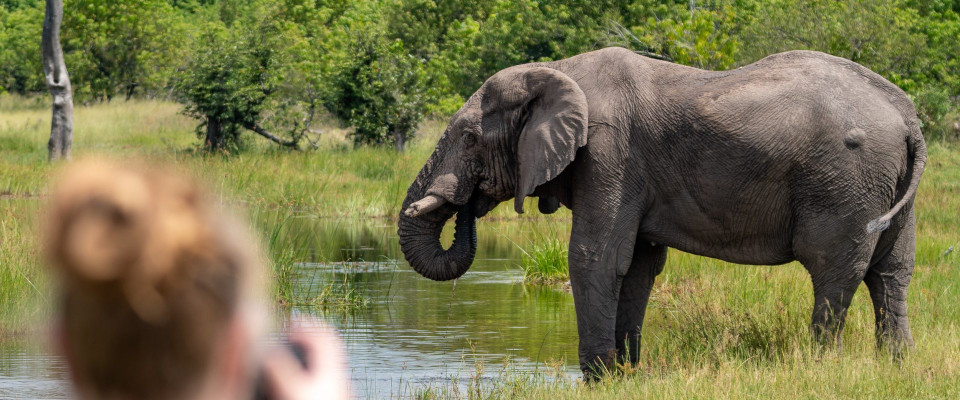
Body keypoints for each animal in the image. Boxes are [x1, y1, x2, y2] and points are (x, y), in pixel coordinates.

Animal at [396, 47, 926, 378]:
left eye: (470, 138)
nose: (470, 202)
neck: (558, 70)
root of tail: (908, 117)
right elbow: (638, 265)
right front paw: (626, 372)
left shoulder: (609, 153)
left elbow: (594, 258)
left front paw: (597, 376)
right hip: (884, 186)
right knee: (891, 273)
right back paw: (896, 368)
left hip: (846, 180)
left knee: (834, 272)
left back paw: (818, 366)